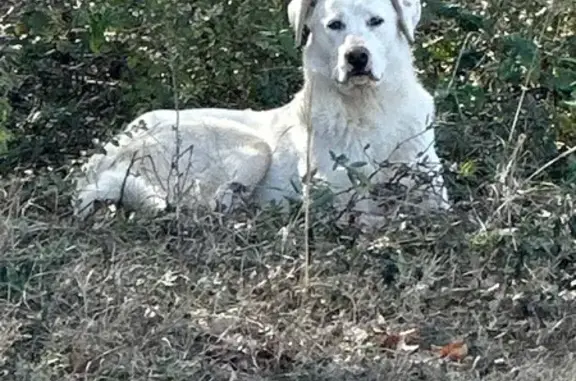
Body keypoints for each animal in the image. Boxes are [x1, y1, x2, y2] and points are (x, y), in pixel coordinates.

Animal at [73, 0, 450, 221]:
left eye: (376, 21)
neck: (367, 108)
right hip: (251, 150)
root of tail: (100, 160)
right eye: (335, 25)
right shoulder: (336, 200)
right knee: (209, 207)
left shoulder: (435, 198)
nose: (357, 57)